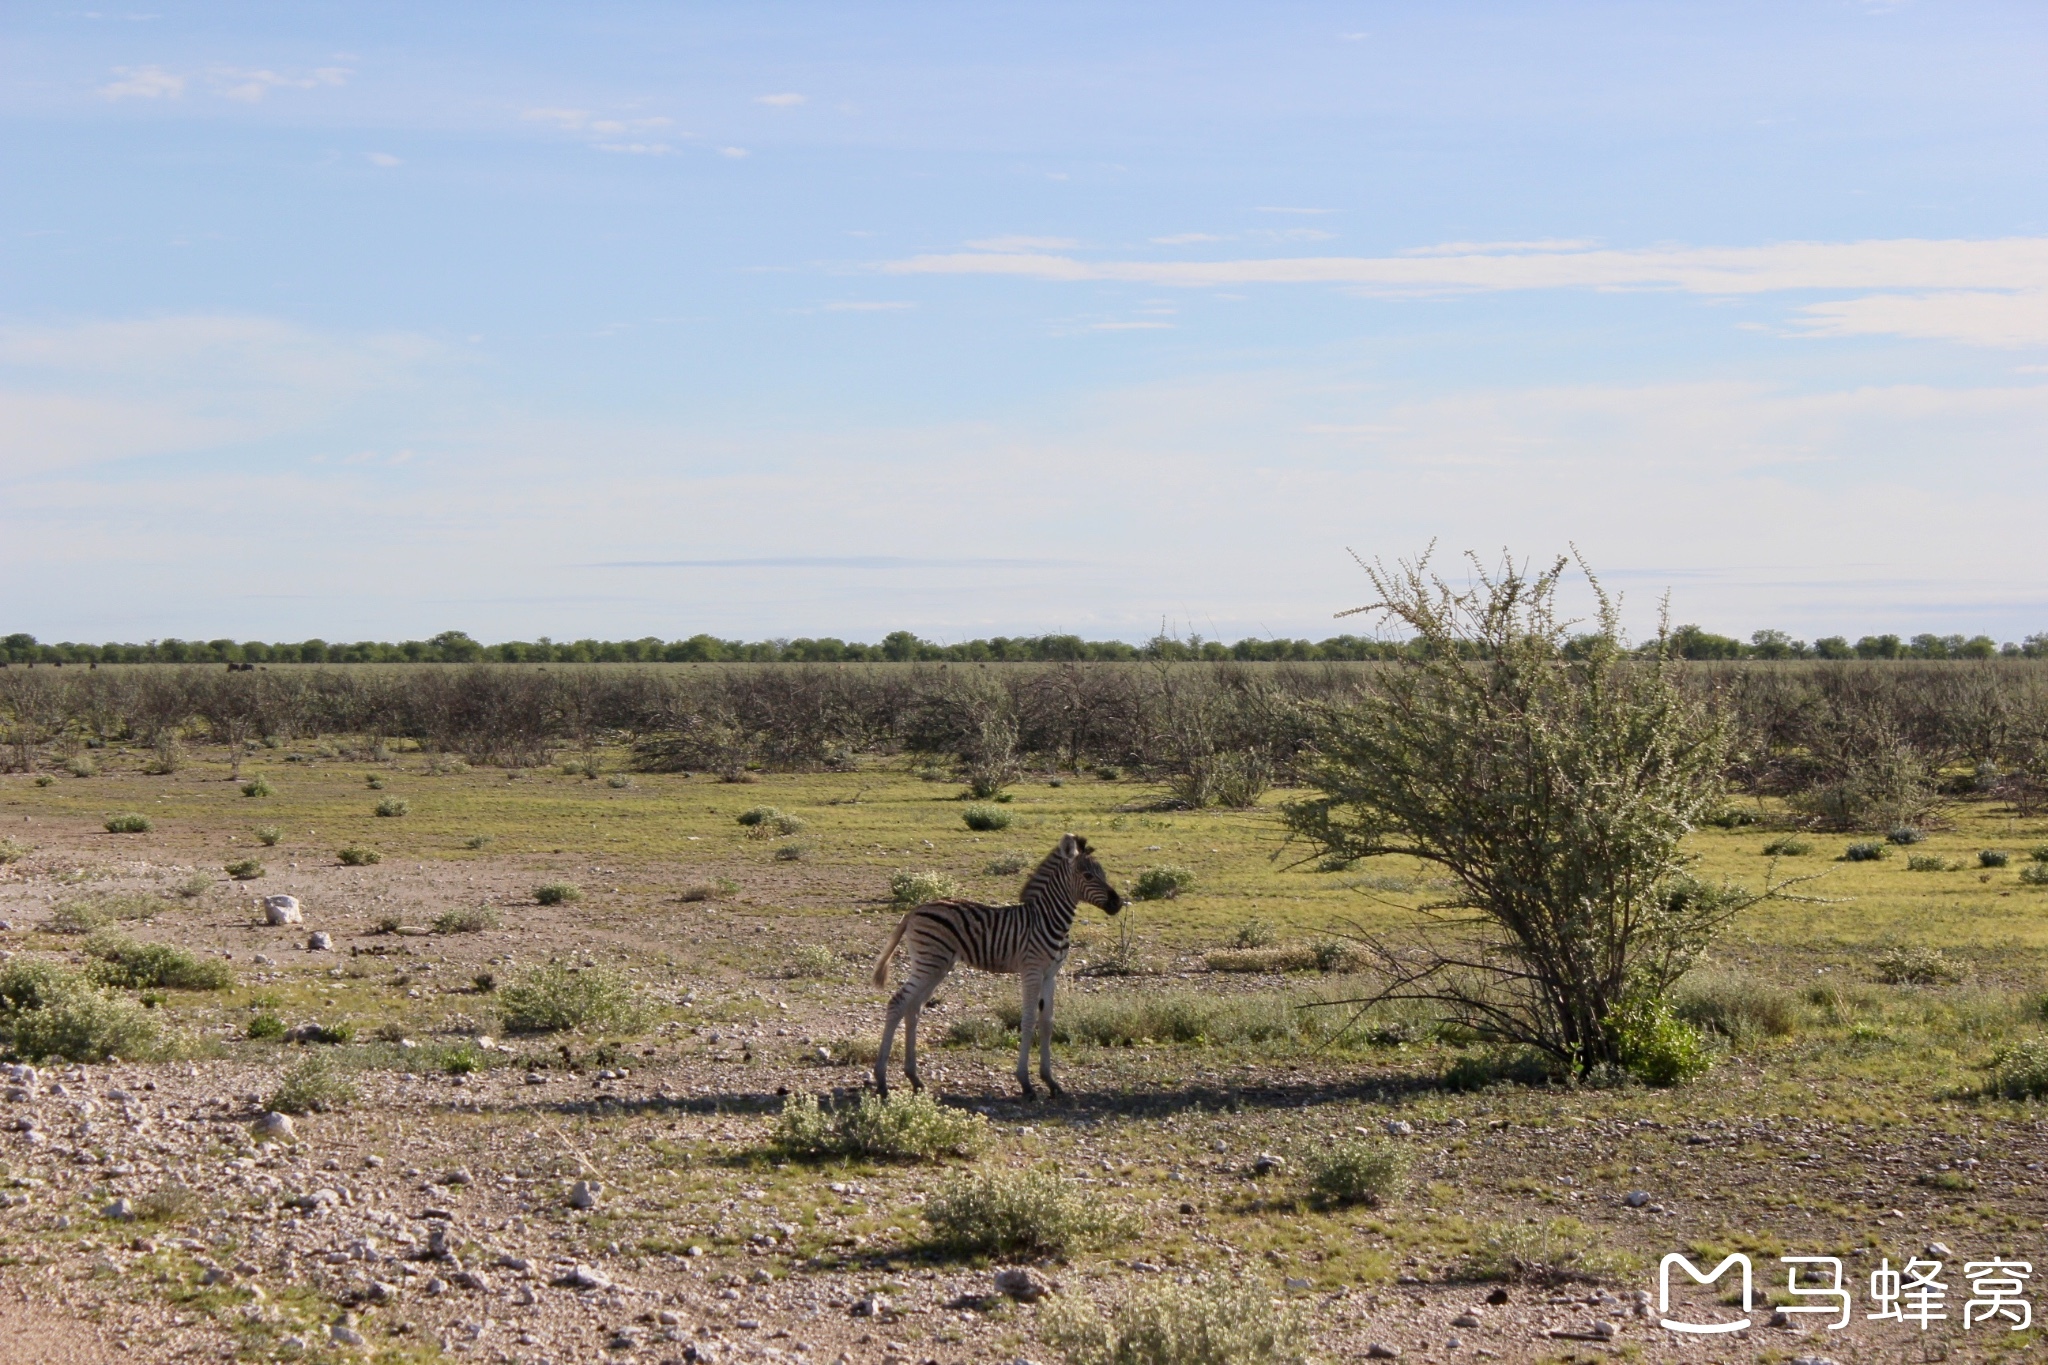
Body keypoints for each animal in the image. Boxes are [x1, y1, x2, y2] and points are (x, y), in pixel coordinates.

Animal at [864, 834, 1122, 1096]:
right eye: (1088, 876)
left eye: (1103, 873)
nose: (1118, 903)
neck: (1048, 919)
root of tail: (915, 910)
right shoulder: (1031, 971)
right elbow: (1028, 1020)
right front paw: (1025, 1082)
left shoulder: (1051, 975)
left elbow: (1047, 1023)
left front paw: (1050, 1081)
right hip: (929, 962)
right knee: (897, 1003)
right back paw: (882, 1081)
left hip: (938, 966)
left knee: (913, 1007)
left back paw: (914, 1078)